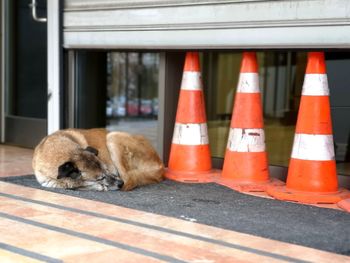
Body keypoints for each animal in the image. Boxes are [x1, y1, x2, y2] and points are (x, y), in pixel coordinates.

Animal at [32, 128, 164, 192]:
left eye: (107, 170)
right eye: (100, 178)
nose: (120, 184)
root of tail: (160, 166)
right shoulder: (47, 181)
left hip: (112, 137)